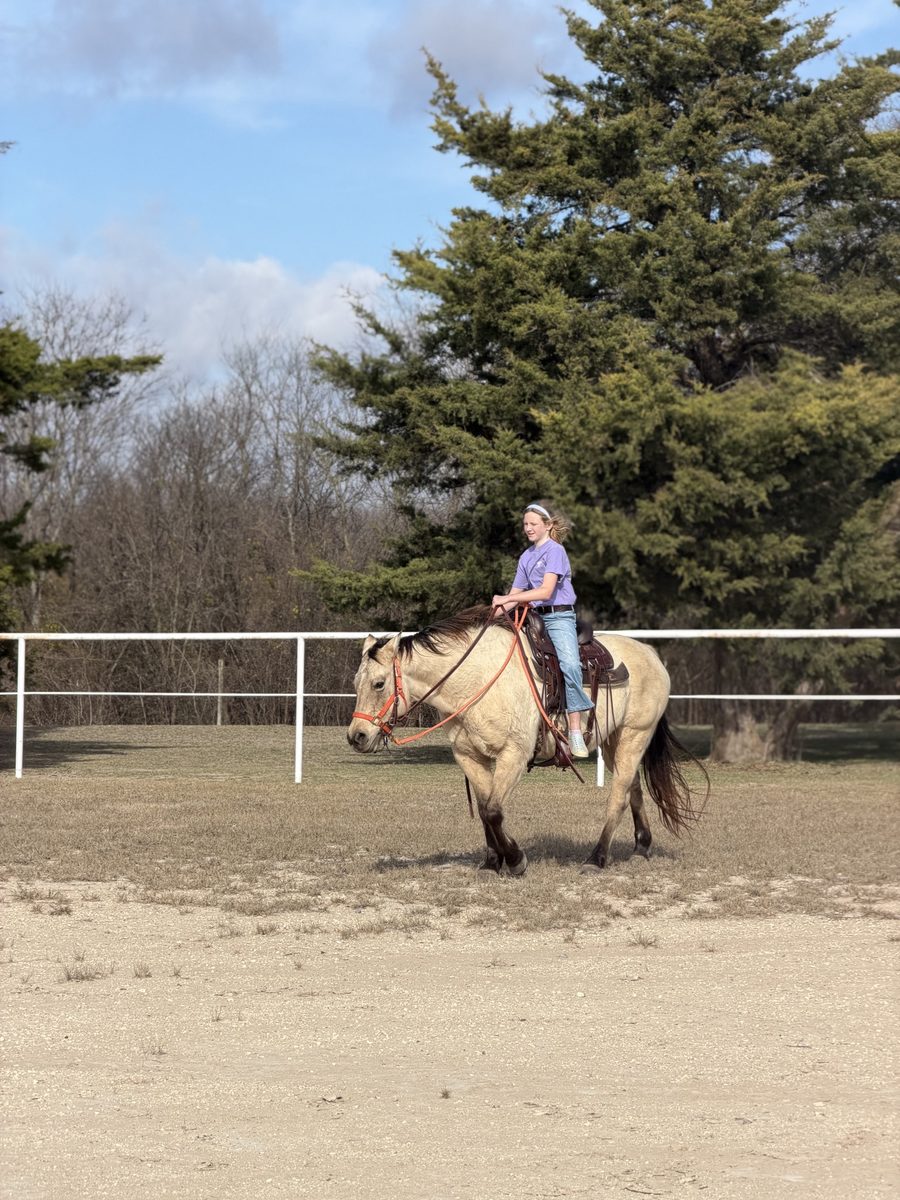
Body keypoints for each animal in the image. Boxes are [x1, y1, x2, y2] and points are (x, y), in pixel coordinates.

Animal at [347, 607, 705, 874]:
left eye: (379, 683)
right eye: (355, 683)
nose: (356, 736)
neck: (478, 679)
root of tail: (650, 653)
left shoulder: (514, 755)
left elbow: (493, 810)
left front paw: (516, 860)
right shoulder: (469, 755)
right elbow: (485, 807)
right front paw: (492, 863)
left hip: (635, 734)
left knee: (618, 796)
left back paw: (596, 858)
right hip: (614, 739)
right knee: (634, 788)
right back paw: (641, 847)